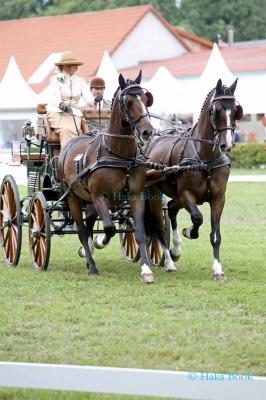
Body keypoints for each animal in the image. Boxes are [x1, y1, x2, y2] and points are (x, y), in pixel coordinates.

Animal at [58, 72, 157, 282]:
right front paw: (99, 241)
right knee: (82, 229)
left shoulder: (136, 195)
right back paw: (91, 264)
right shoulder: (98, 196)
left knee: (88, 224)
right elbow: (109, 228)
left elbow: (140, 231)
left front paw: (146, 270)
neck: (118, 155)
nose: (148, 131)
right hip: (74, 197)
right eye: (128, 101)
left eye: (146, 99)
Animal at [145, 77, 243, 278]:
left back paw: (175, 251)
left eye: (236, 111)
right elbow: (197, 218)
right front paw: (190, 232)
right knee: (159, 226)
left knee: (171, 209)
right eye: (215, 110)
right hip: (154, 195)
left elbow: (215, 235)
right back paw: (169, 261)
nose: (227, 144)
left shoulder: (218, 198)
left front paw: (218, 269)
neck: (205, 159)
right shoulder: (186, 194)